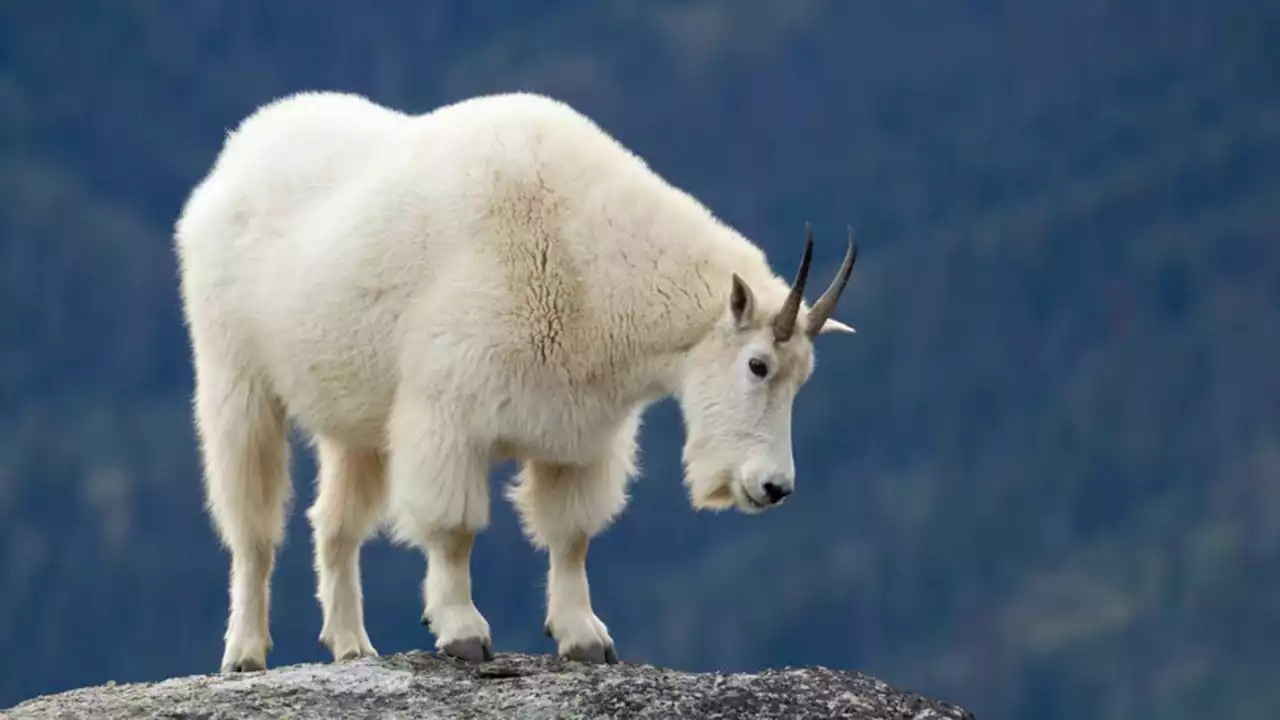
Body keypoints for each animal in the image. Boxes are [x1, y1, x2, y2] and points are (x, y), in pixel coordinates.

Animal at [172, 90, 860, 671]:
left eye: (802, 380)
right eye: (757, 365)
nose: (773, 487)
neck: (589, 264)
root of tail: (234, 155)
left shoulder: (581, 434)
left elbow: (572, 535)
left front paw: (584, 638)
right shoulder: (449, 411)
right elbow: (454, 528)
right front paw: (462, 632)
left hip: (354, 414)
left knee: (334, 522)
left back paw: (352, 646)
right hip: (236, 375)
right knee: (252, 522)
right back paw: (245, 652)